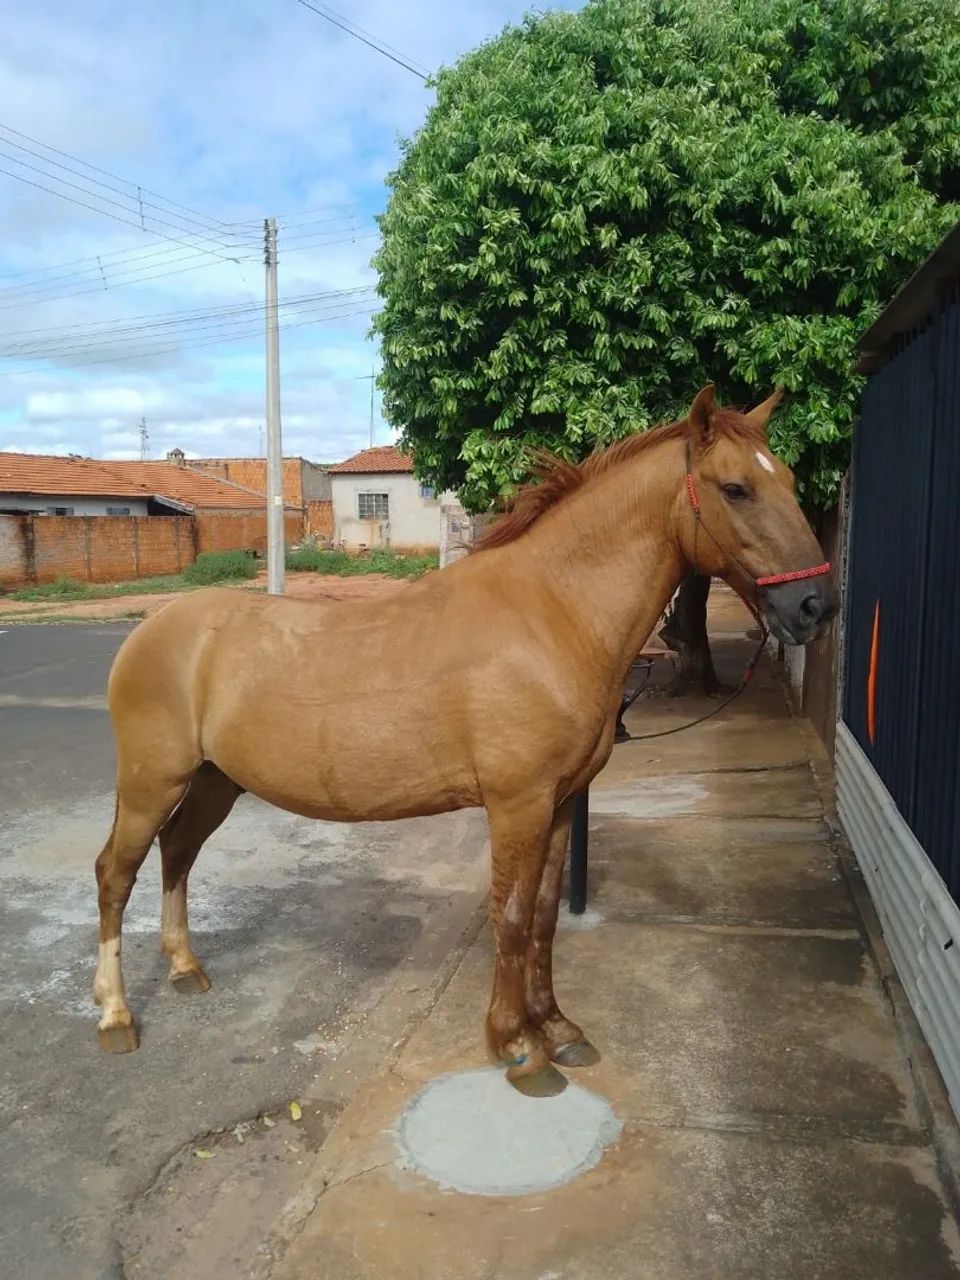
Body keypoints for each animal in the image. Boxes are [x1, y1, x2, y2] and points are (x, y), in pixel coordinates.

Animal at [92, 385, 838, 1097]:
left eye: (790, 479)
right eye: (736, 488)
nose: (815, 606)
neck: (551, 615)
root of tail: (149, 631)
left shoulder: (560, 804)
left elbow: (543, 916)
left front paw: (558, 1027)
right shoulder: (517, 805)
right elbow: (509, 916)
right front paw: (517, 1046)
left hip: (216, 781)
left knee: (178, 853)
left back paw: (185, 968)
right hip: (152, 782)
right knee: (115, 874)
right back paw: (116, 1017)